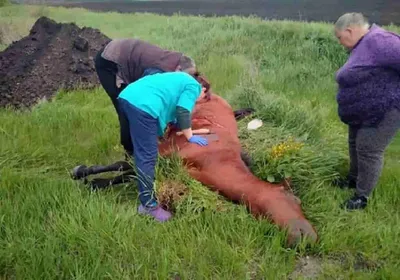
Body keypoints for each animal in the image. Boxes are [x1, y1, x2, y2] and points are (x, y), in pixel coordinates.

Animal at [71, 93, 316, 245]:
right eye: (293, 199)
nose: (309, 237)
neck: (216, 160)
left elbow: (131, 172)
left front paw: (95, 181)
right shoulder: (165, 152)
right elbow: (126, 166)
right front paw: (84, 173)